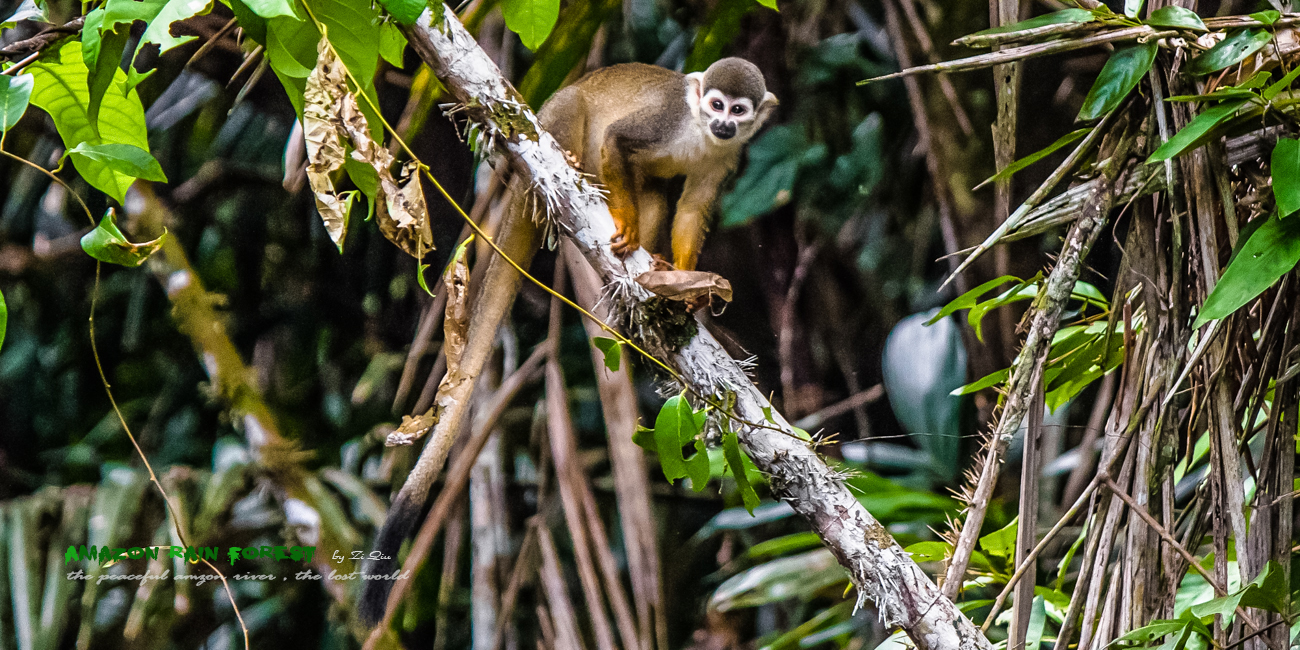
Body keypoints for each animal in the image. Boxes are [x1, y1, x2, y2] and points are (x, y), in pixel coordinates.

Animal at [538, 56, 769, 269]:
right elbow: (615, 138)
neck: (701, 131)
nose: (723, 125)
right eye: (717, 105)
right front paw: (627, 224)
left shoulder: (729, 156)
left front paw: (683, 273)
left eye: (737, 110)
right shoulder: (669, 118)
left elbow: (693, 208)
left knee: (654, 196)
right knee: (572, 99)